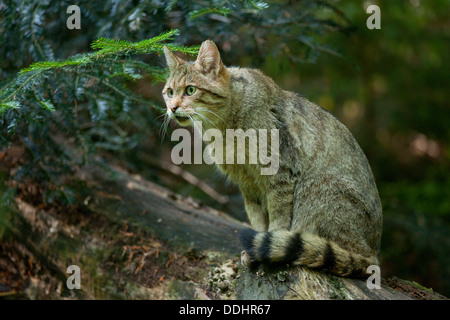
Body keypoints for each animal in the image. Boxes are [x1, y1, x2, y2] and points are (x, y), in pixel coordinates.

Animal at [163, 39, 384, 276]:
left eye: (190, 90)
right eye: (169, 92)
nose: (172, 107)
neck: (223, 126)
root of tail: (374, 252)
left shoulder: (280, 174)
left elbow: (278, 218)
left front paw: (269, 245)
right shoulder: (247, 184)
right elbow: (257, 220)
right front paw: (256, 247)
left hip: (319, 188)